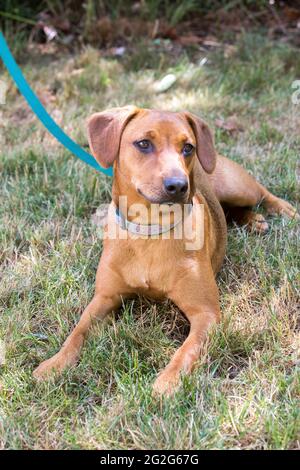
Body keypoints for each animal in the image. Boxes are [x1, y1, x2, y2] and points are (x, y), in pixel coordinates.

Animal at [33, 105, 298, 392]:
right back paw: (252, 220)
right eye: (143, 144)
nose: (178, 185)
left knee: (261, 193)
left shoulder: (205, 313)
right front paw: (55, 364)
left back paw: (284, 210)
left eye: (188, 147)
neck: (151, 231)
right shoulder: (104, 298)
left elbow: (186, 350)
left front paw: (167, 382)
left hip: (237, 187)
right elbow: (77, 331)